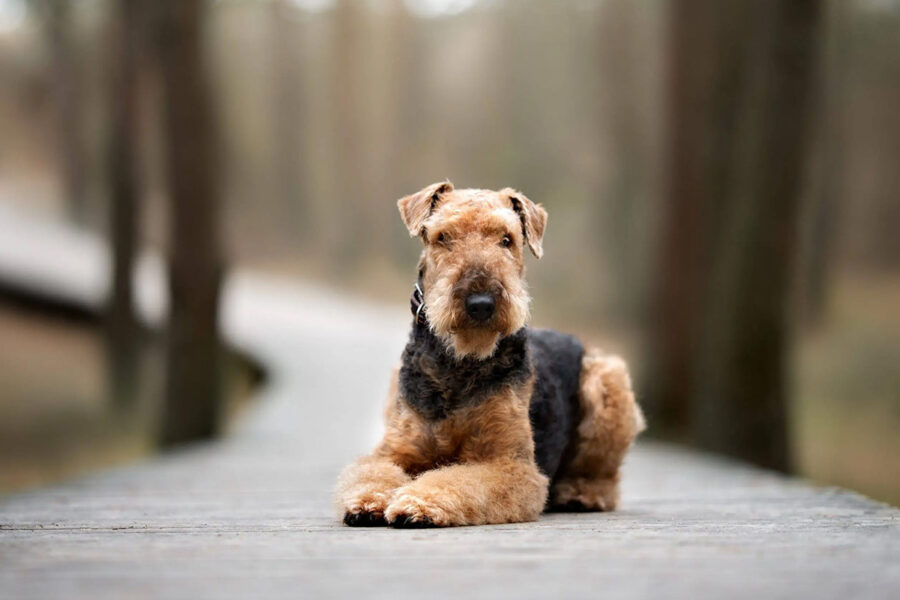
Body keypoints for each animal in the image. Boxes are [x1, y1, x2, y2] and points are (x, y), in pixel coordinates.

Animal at [334, 180, 644, 528]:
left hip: (608, 384)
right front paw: (368, 500)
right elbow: (372, 472)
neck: (459, 362)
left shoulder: (509, 464)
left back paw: (580, 493)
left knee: (605, 477)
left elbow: (460, 479)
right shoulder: (395, 451)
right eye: (443, 237)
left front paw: (419, 502)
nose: (480, 304)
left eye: (506, 239)